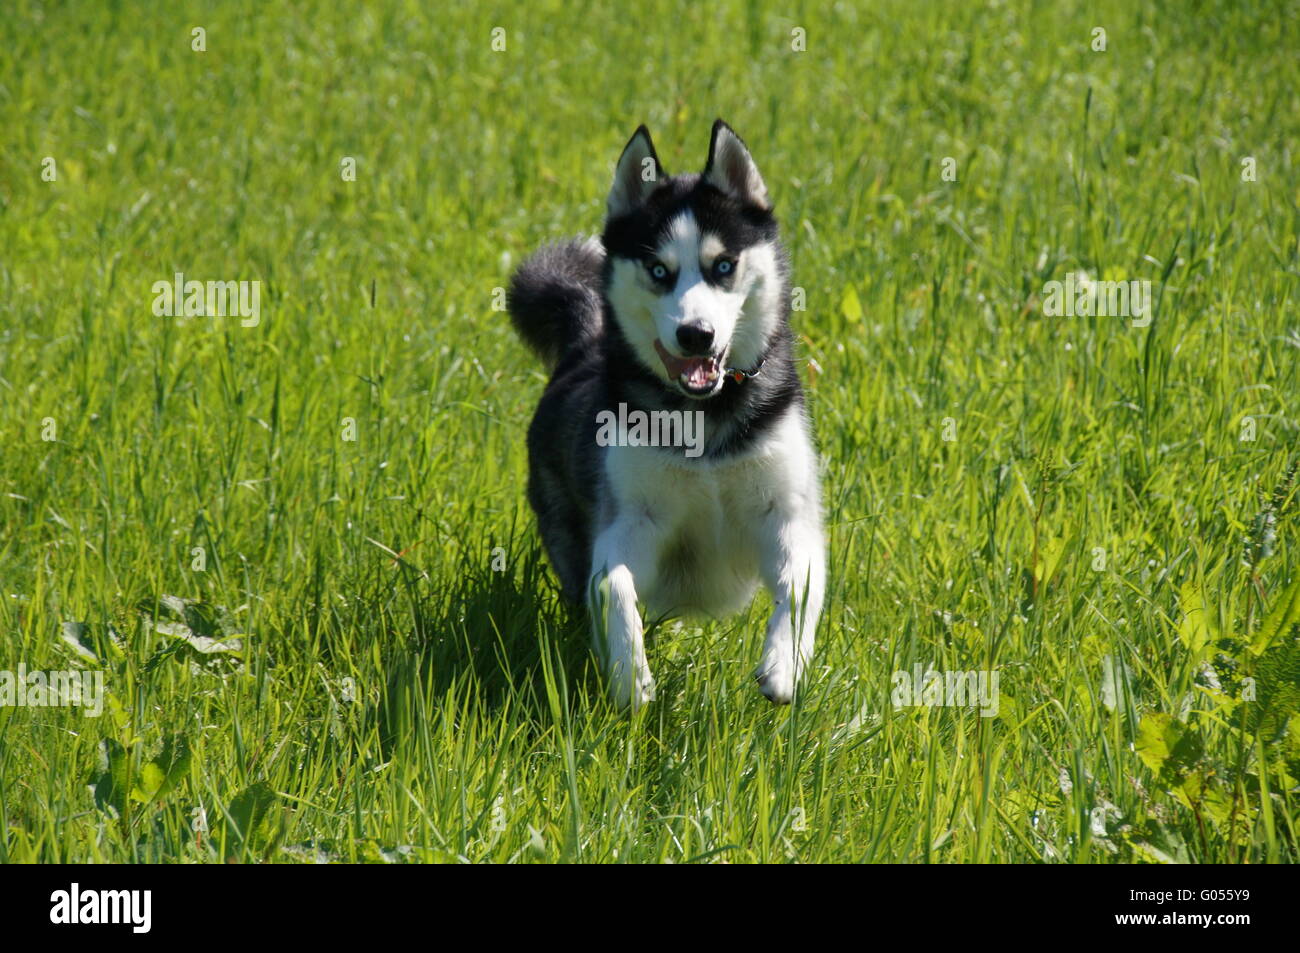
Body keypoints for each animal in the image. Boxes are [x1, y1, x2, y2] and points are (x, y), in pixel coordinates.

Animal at [504, 120, 821, 707]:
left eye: (724, 266)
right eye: (658, 270)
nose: (696, 334)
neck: (704, 420)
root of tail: (583, 343)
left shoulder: (787, 513)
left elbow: (797, 585)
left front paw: (782, 667)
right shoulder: (631, 518)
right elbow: (612, 583)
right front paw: (630, 677)